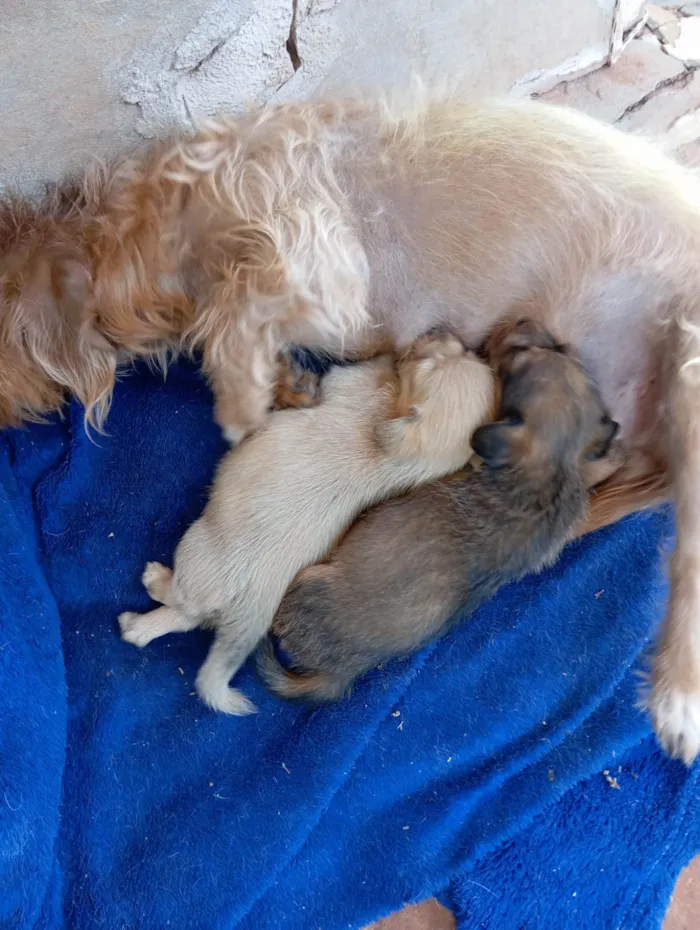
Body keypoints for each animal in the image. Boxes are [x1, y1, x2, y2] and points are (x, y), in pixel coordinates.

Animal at [117, 332, 494, 712]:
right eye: (460, 351)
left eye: (428, 365)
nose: (437, 332)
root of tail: (255, 602)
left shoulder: (348, 382)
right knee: (186, 617)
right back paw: (137, 628)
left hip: (197, 549)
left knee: (183, 601)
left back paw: (155, 582)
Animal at [258, 316, 616, 700]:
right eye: (556, 350)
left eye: (519, 358)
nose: (521, 319)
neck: (551, 473)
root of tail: (342, 673)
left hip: (305, 584)